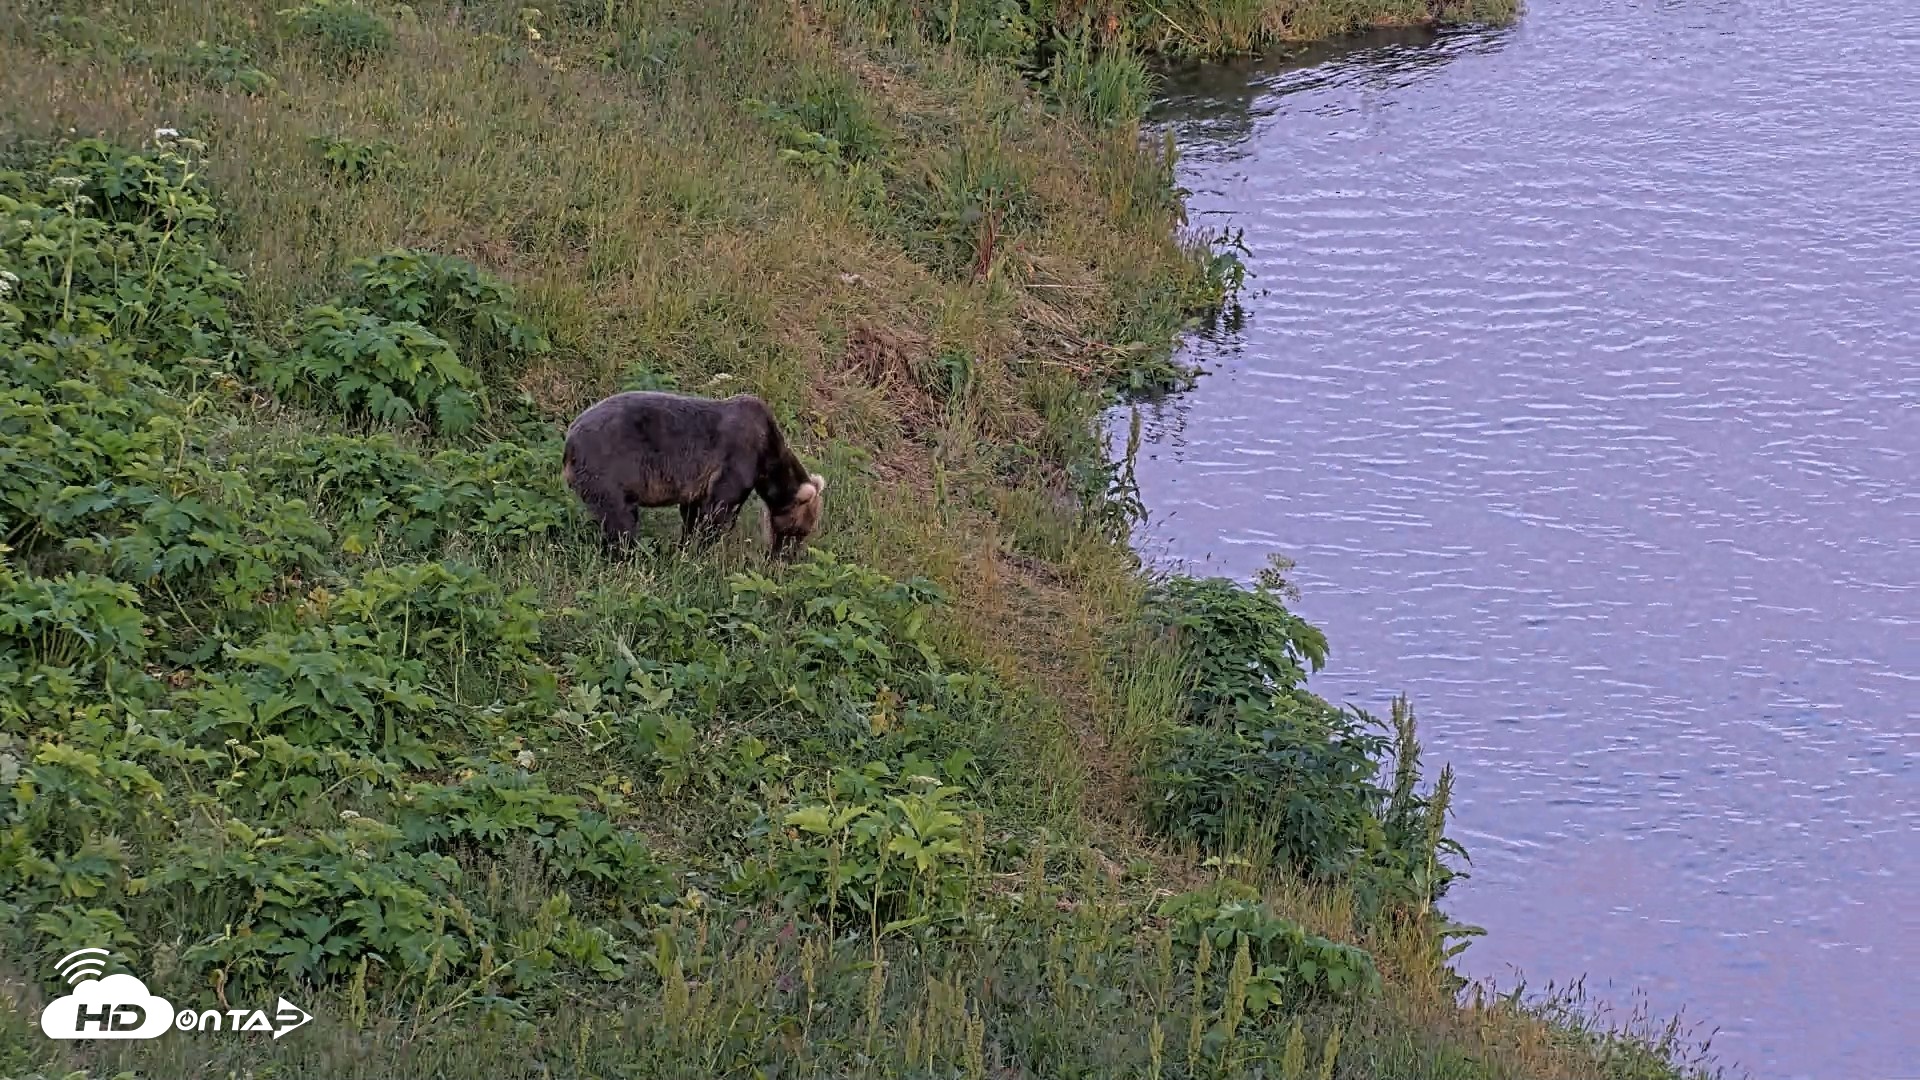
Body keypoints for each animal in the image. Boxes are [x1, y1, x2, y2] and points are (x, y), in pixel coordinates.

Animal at [562, 390, 825, 558]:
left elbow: (692, 512)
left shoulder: (699, 481)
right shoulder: (738, 457)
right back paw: (629, 555)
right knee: (621, 520)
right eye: (800, 531)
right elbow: (719, 511)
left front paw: (685, 546)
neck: (767, 458)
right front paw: (703, 550)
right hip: (609, 469)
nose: (786, 557)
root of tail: (569, 440)